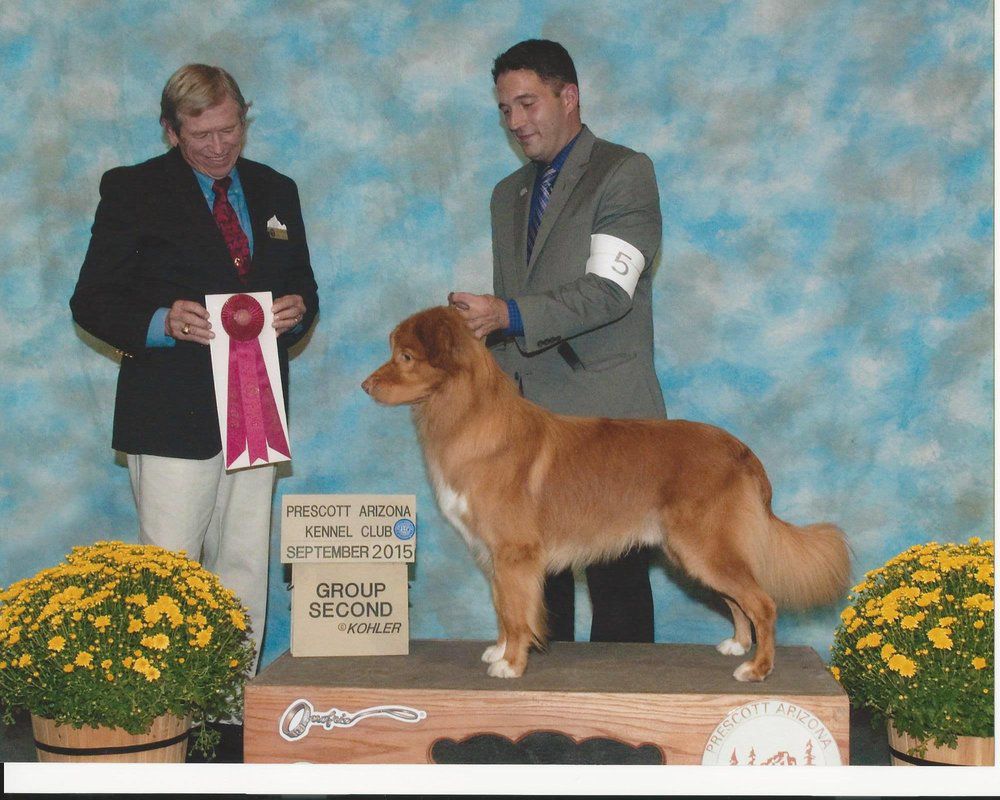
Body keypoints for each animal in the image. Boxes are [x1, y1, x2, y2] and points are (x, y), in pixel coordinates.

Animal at [364, 306, 848, 680]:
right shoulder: (493, 553)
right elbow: (503, 606)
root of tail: (742, 452)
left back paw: (757, 668)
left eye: (405, 356)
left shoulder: (515, 551)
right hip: (696, 551)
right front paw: (499, 650)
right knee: (737, 600)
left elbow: (518, 610)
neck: (467, 415)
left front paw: (512, 663)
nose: (366, 386)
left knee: (762, 602)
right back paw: (737, 645)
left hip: (704, 546)